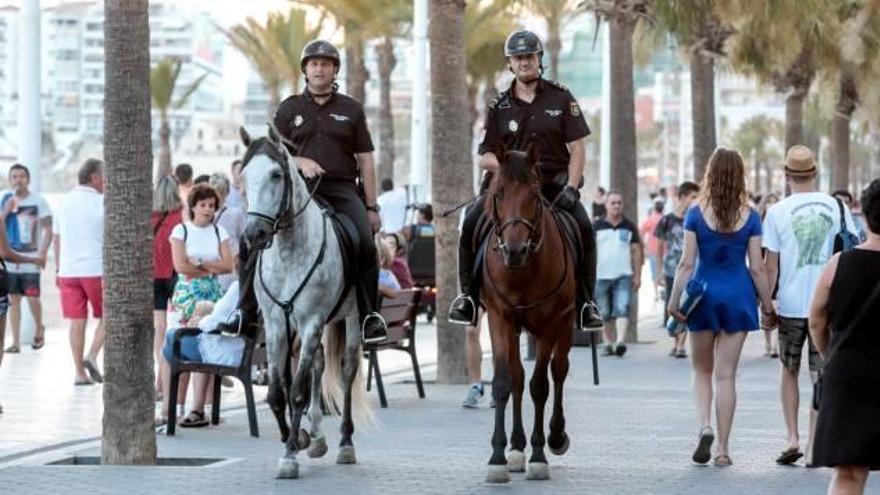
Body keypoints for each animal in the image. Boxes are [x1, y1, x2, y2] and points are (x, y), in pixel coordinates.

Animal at [237, 127, 372, 480]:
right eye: (243, 176)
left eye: (276, 174)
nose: (255, 234)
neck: (289, 248)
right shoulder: (276, 324)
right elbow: (276, 392)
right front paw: (296, 438)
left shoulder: (311, 320)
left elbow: (295, 391)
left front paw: (289, 456)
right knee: (318, 366)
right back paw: (317, 437)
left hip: (350, 319)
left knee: (347, 370)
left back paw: (345, 443)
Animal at [482, 144, 576, 484]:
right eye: (498, 193)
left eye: (534, 195)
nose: (514, 251)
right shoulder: (499, 318)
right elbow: (503, 382)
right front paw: (499, 457)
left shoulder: (550, 324)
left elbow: (540, 386)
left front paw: (538, 455)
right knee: (518, 378)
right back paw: (516, 448)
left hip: (566, 324)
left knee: (559, 372)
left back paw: (556, 437)